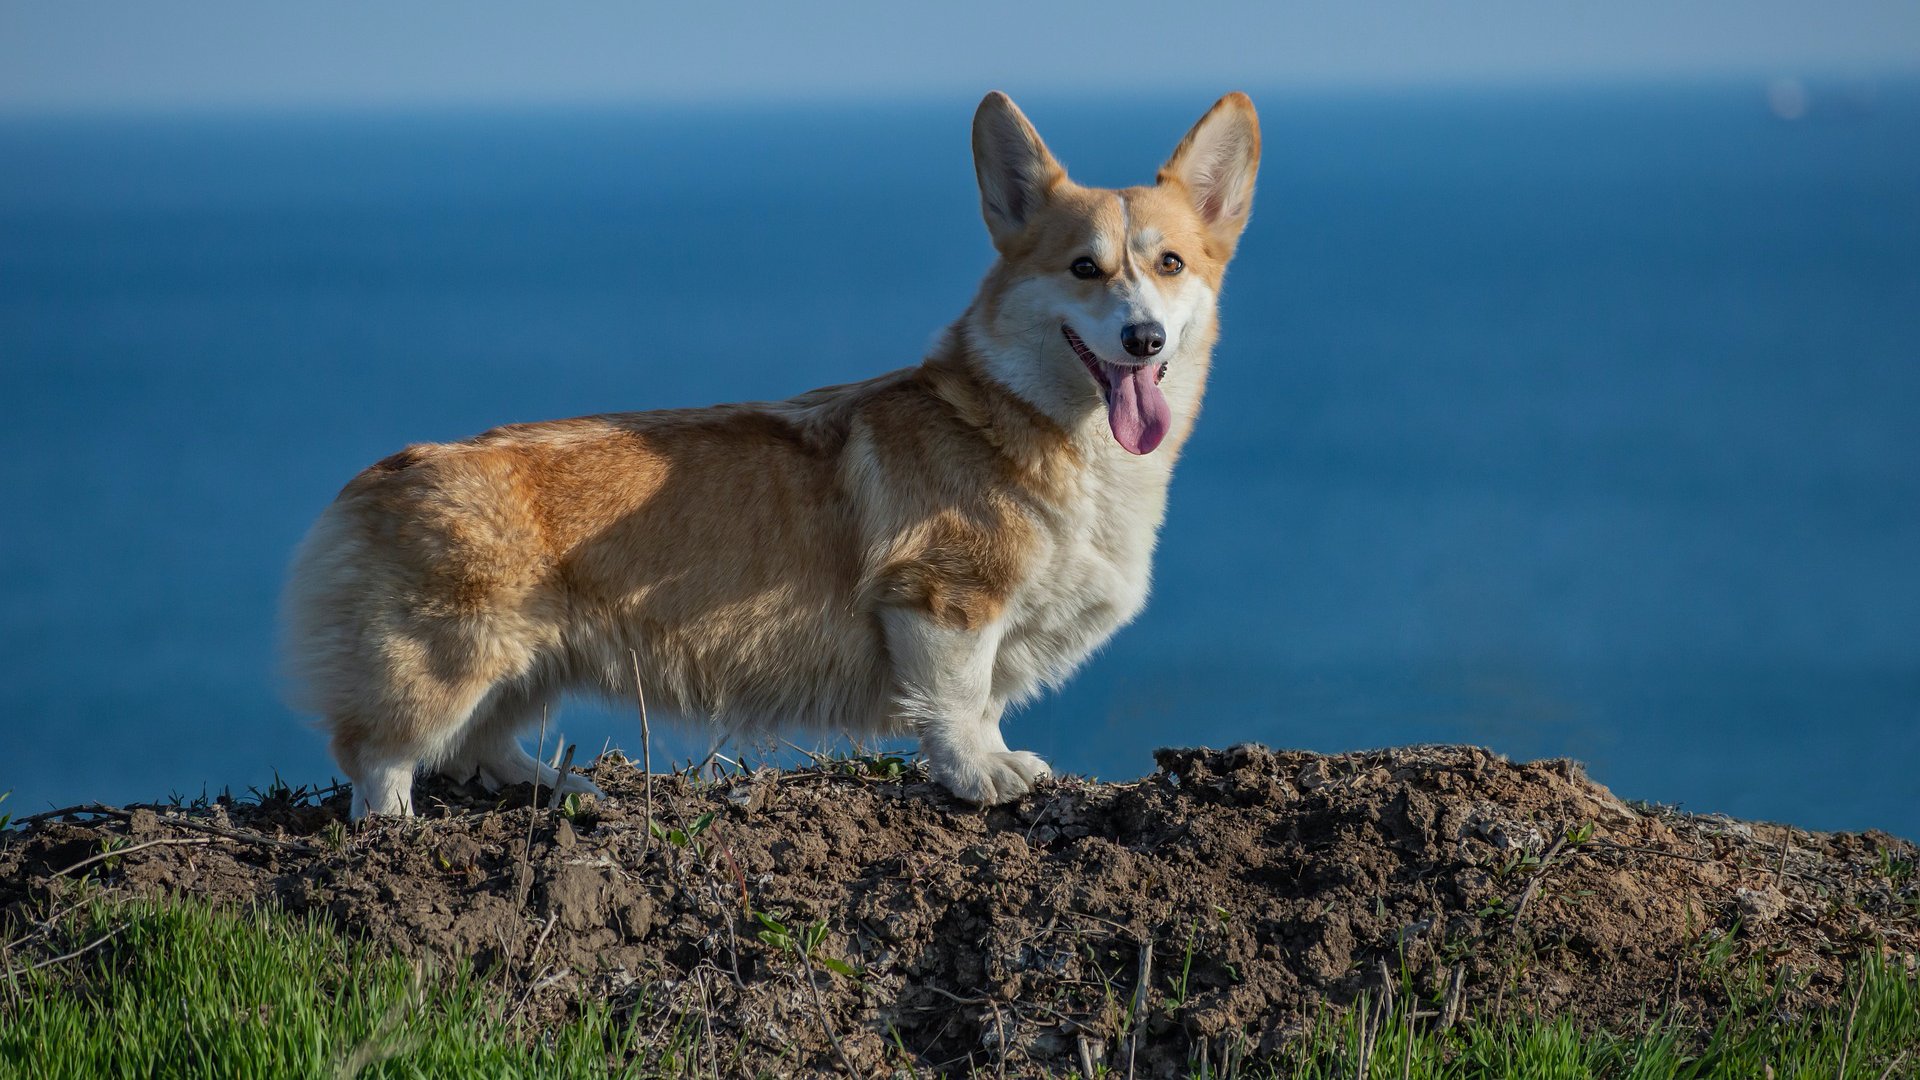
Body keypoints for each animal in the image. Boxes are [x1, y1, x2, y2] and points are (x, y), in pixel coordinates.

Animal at [280, 94, 1259, 814]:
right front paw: (983, 773)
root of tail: (381, 474)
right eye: (1084, 269)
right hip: (446, 662)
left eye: (1171, 264)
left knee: (481, 744)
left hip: (527, 663)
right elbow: (958, 701)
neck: (1033, 426)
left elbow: (978, 702)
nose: (1142, 339)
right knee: (380, 752)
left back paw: (558, 786)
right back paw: (395, 829)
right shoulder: (942, 603)